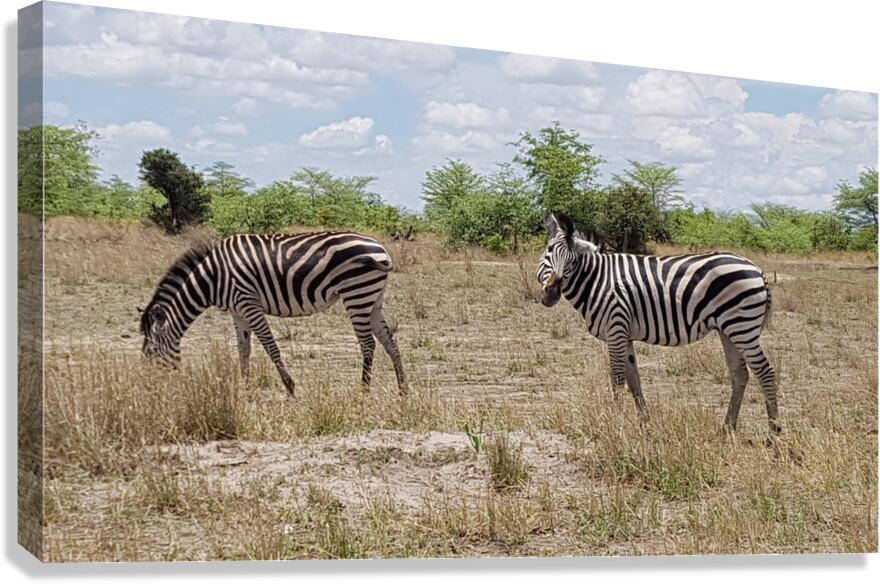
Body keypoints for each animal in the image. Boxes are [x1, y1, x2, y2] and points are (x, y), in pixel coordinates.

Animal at [139, 232, 409, 396]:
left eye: (151, 351)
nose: (151, 389)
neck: (213, 278)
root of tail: (381, 249)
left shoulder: (248, 303)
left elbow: (271, 347)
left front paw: (290, 387)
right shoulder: (237, 312)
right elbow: (244, 350)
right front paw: (245, 388)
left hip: (357, 294)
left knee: (368, 344)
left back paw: (363, 390)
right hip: (373, 299)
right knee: (390, 340)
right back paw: (403, 389)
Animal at [536, 213, 779, 436]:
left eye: (573, 261)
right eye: (549, 251)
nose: (552, 292)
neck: (597, 280)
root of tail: (757, 269)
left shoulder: (615, 328)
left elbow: (617, 380)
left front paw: (616, 423)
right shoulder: (624, 333)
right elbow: (634, 380)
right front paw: (644, 423)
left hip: (742, 327)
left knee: (766, 372)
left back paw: (774, 433)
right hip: (728, 330)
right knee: (740, 374)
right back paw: (727, 428)